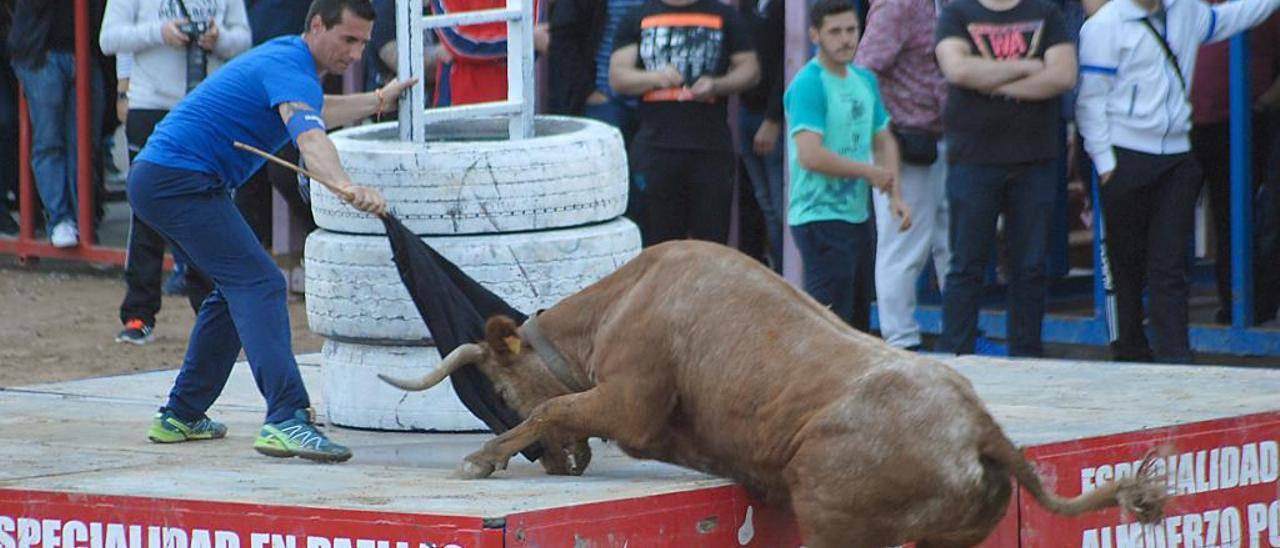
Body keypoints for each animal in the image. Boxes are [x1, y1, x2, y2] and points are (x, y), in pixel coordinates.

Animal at [378, 240, 1172, 548]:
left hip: (833, 521)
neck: (628, 297)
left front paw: (483, 457)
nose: (555, 464)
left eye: (501, 390)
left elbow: (556, 404)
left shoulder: (630, 399)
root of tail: (982, 429)